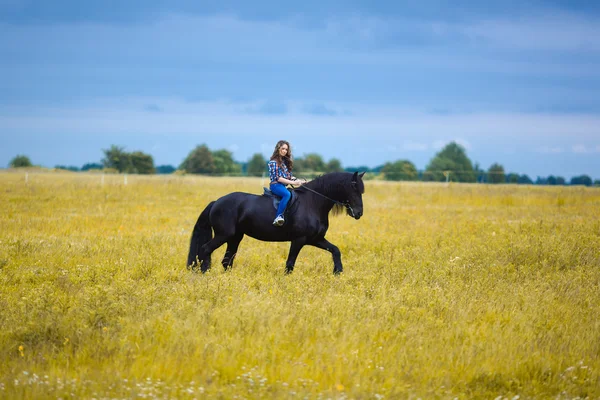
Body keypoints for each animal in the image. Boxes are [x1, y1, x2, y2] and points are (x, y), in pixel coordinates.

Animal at [188, 170, 366, 276]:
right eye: (354, 188)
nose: (358, 213)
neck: (313, 203)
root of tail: (216, 202)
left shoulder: (315, 239)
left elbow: (335, 250)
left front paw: (338, 272)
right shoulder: (299, 240)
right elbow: (290, 264)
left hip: (235, 237)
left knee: (227, 260)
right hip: (223, 235)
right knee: (205, 250)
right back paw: (204, 274)